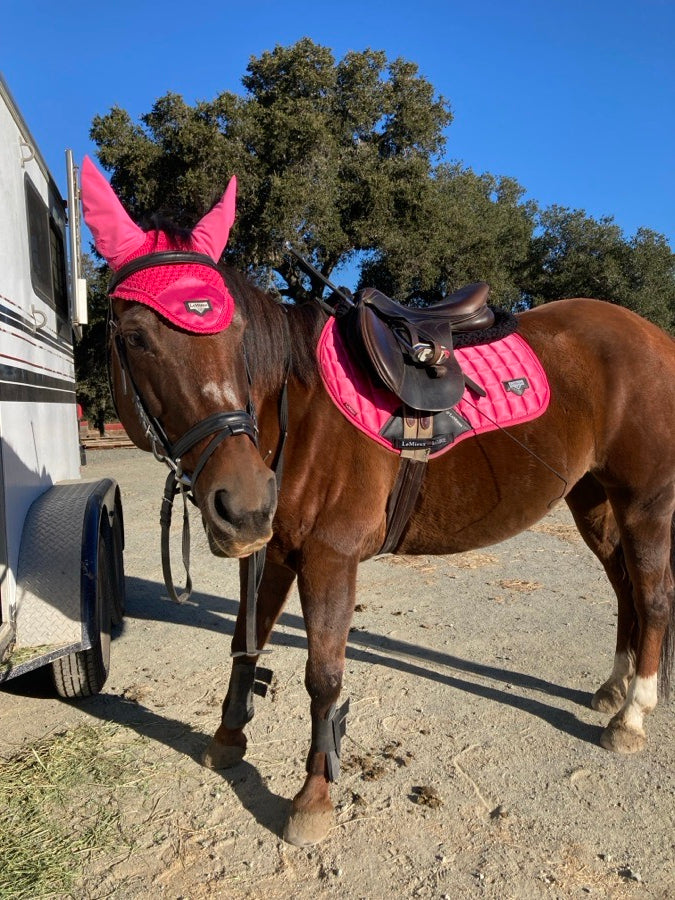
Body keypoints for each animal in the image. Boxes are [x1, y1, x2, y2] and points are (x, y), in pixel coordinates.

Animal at [82, 158, 675, 848]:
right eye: (134, 337)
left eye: (236, 333)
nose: (244, 501)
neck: (297, 411)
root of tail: (653, 336)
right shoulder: (272, 553)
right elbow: (246, 644)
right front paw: (229, 739)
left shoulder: (330, 558)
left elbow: (324, 677)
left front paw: (313, 797)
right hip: (594, 503)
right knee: (625, 591)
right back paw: (612, 690)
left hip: (645, 504)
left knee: (653, 599)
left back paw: (632, 716)